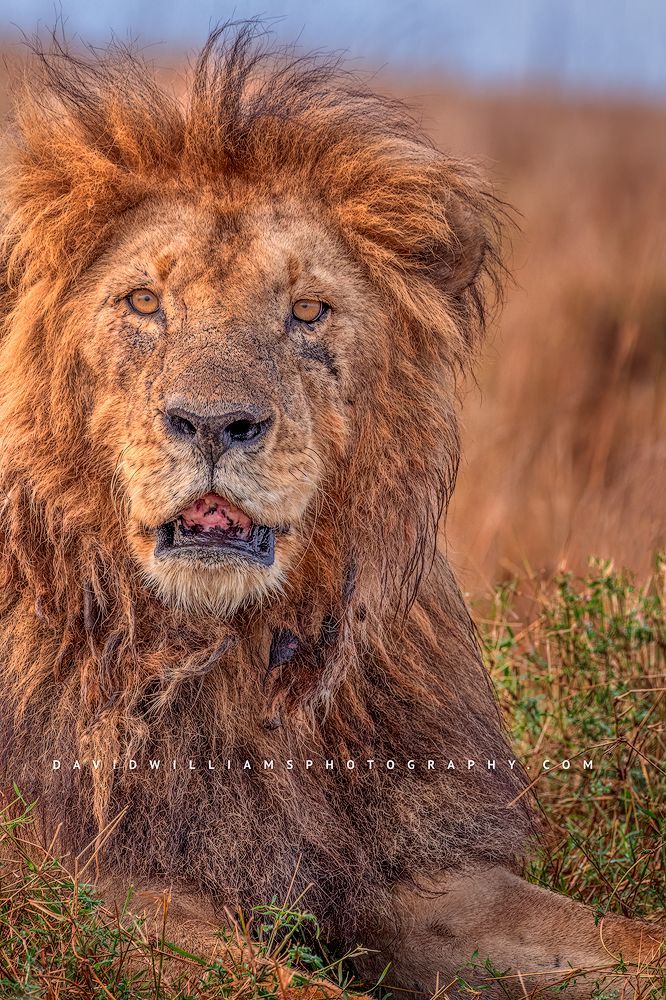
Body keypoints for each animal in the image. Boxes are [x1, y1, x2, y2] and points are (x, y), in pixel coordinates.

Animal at [0, 26, 662, 999]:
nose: (214, 424)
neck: (224, 658)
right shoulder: (86, 887)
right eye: (144, 302)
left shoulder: (424, 870)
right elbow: (287, 984)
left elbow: (625, 940)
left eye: (307, 312)